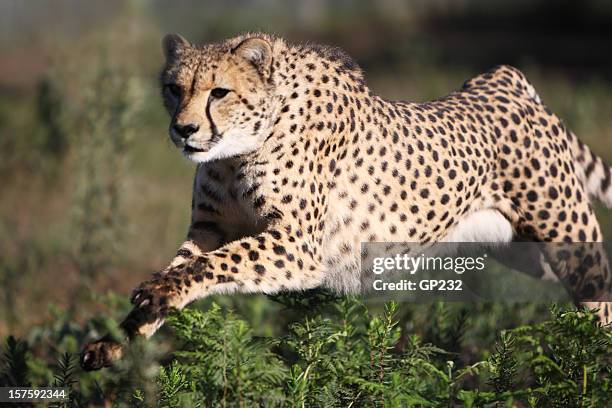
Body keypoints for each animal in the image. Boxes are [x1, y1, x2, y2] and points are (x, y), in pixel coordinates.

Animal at [82, 32, 612, 370]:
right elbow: (188, 265)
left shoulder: (297, 245)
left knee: (600, 304)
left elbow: (213, 265)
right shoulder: (211, 227)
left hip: (571, 242)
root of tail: (504, 81)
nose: (184, 129)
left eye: (219, 92)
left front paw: (155, 294)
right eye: (174, 89)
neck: (238, 148)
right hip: (527, 253)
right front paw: (116, 339)